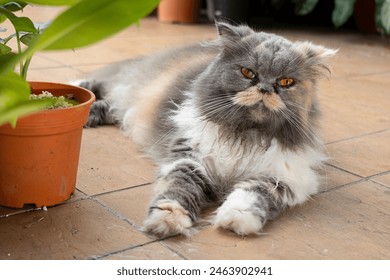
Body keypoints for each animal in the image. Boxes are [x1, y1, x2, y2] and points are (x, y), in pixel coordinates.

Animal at [76, 20, 336, 237]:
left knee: (110, 107)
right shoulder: (189, 159)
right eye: (248, 72)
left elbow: (251, 195)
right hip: (127, 85)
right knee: (99, 86)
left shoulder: (285, 177)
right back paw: (72, 94)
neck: (245, 134)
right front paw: (168, 221)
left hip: (125, 103)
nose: (264, 89)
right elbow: (177, 192)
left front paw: (235, 220)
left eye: (286, 82)